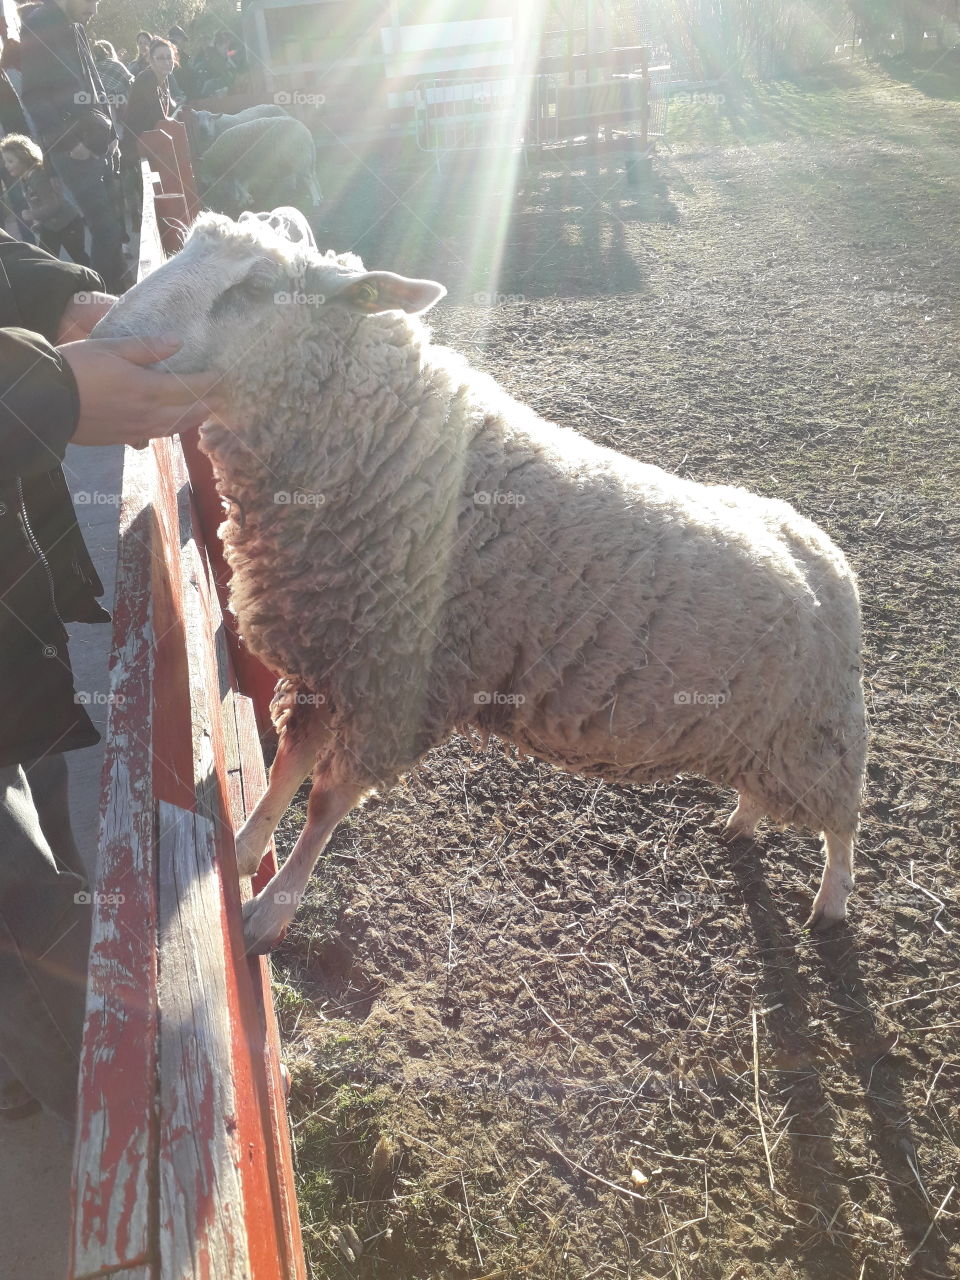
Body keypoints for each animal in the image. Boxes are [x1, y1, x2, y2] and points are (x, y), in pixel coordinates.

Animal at [94, 212, 868, 955]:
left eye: (255, 289)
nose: (103, 338)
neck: (393, 453)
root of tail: (818, 549)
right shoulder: (330, 654)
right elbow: (287, 767)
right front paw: (247, 847)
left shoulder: (398, 684)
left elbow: (324, 803)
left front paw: (269, 914)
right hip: (759, 730)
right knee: (763, 791)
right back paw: (740, 823)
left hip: (818, 730)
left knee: (842, 822)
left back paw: (831, 904)